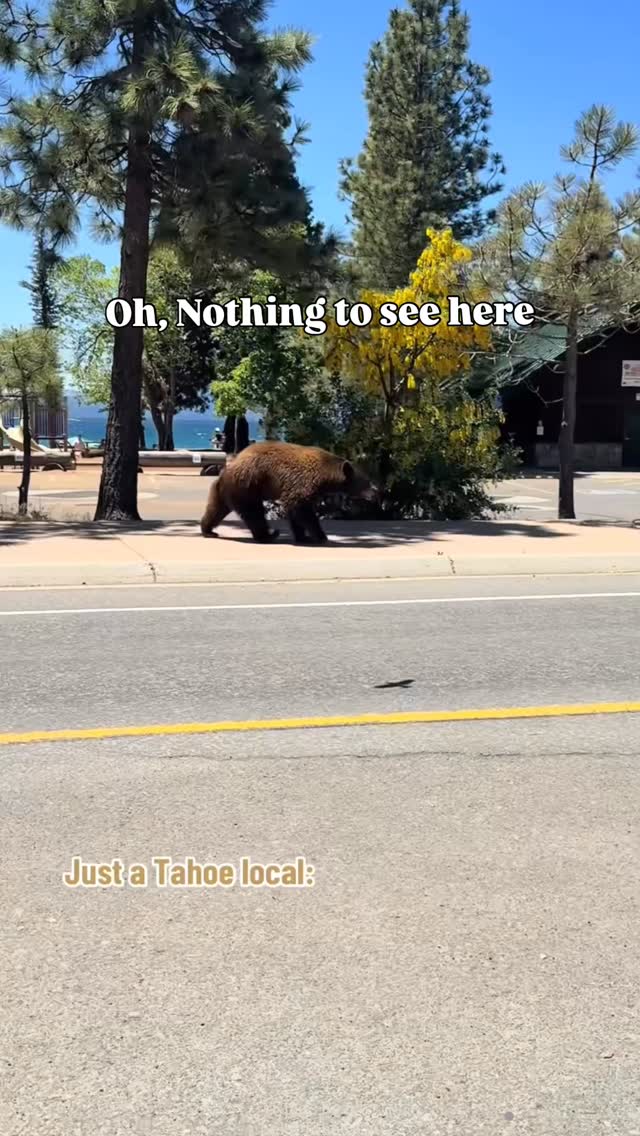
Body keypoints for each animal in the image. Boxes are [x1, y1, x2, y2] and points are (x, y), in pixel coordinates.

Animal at [200, 440, 376, 544]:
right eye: (367, 481)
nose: (376, 493)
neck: (326, 475)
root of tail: (226, 470)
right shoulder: (302, 481)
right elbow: (301, 509)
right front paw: (320, 536)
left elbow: (295, 511)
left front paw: (302, 536)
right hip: (247, 486)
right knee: (254, 513)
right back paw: (268, 535)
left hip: (227, 490)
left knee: (216, 509)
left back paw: (208, 530)